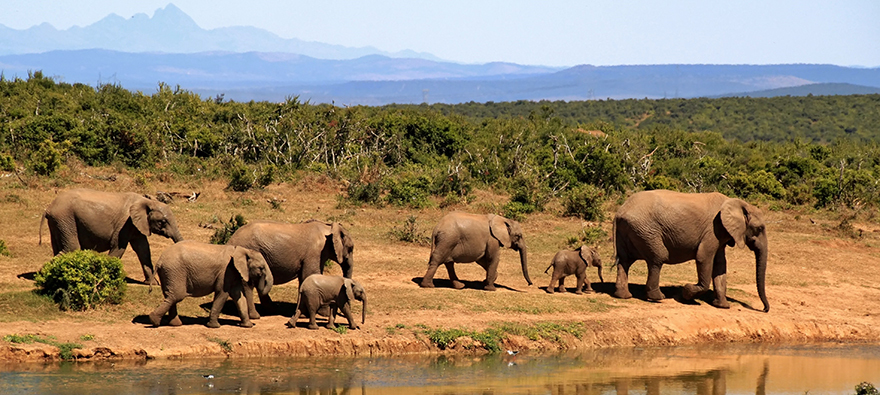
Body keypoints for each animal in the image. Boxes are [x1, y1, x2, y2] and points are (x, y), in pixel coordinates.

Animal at [41, 189, 184, 284]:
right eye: (162, 222)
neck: (147, 201)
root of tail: (48, 208)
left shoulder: (136, 226)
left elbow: (143, 250)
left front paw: (152, 284)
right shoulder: (125, 224)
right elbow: (119, 248)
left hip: (58, 222)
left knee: (59, 248)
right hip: (65, 219)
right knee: (72, 248)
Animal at [225, 220, 356, 318]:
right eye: (350, 248)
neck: (328, 227)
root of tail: (230, 240)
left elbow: (305, 278)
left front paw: (304, 314)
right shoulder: (314, 253)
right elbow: (311, 274)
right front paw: (323, 313)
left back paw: (273, 310)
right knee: (248, 284)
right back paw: (255, 315)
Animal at [612, 190, 768, 314]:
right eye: (759, 228)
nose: (765, 309)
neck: (738, 203)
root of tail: (620, 211)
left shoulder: (721, 234)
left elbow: (720, 265)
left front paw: (722, 306)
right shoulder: (713, 230)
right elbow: (703, 257)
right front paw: (686, 293)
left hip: (630, 230)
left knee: (625, 261)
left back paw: (624, 296)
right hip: (646, 230)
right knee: (658, 258)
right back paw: (658, 298)